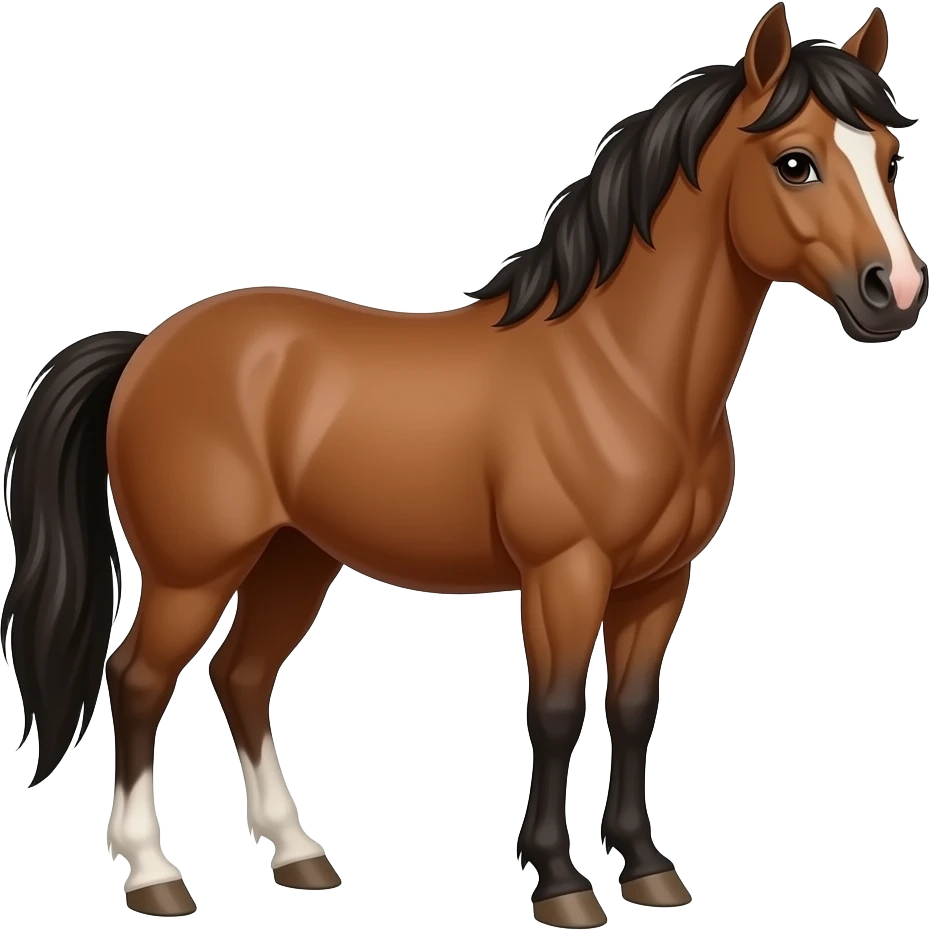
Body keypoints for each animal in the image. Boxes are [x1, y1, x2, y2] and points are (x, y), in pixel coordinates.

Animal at [1, 3, 924, 926]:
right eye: (795, 162)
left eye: (888, 156)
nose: (896, 292)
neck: (619, 370)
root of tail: (147, 348)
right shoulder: (565, 574)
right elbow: (554, 712)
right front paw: (561, 883)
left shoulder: (659, 583)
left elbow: (632, 712)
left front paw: (647, 869)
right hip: (193, 571)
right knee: (137, 681)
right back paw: (154, 875)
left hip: (294, 558)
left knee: (243, 675)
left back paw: (299, 855)